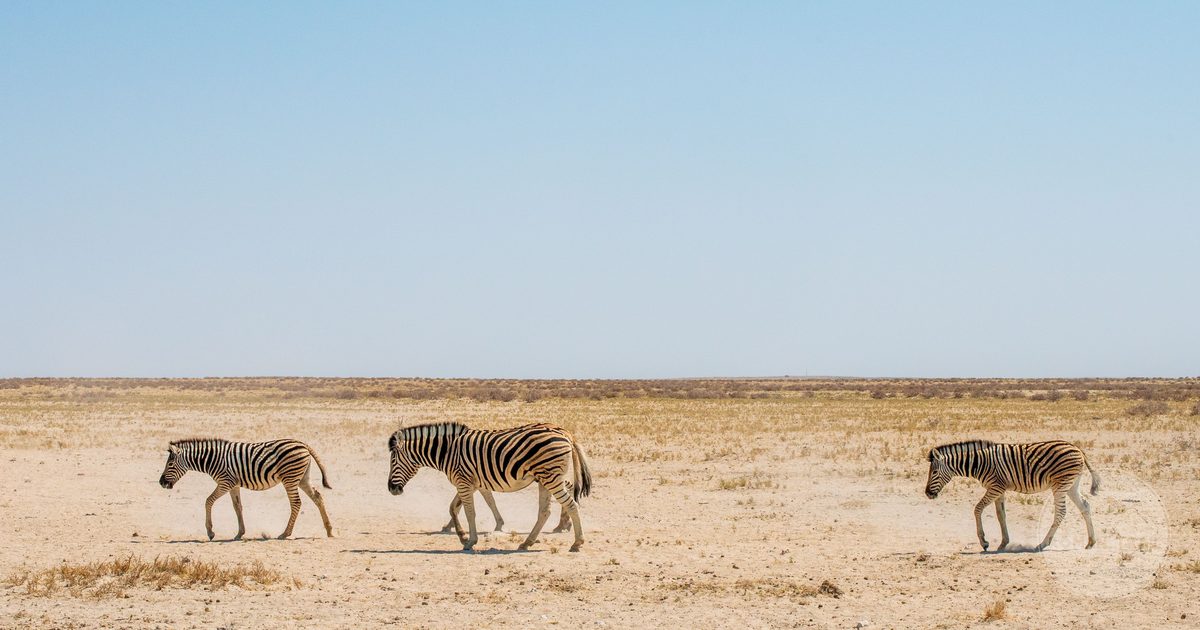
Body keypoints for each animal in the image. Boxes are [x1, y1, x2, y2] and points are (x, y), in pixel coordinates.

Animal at [158, 438, 335, 541]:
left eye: (170, 464)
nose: (161, 482)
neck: (212, 460)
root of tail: (303, 444)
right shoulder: (234, 485)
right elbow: (237, 507)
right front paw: (239, 533)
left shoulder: (225, 482)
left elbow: (208, 501)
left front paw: (210, 532)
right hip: (302, 478)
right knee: (318, 497)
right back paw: (329, 530)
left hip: (290, 478)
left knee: (296, 503)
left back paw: (285, 533)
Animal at [388, 422, 592, 552]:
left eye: (393, 461)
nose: (391, 489)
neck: (447, 452)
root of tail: (566, 433)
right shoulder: (471, 483)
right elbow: (455, 507)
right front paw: (461, 534)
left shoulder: (463, 482)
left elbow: (469, 512)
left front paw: (470, 541)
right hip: (545, 478)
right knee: (545, 511)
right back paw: (528, 542)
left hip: (551, 477)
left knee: (571, 504)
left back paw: (577, 542)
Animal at [924, 439, 1099, 552]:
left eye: (934, 472)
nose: (927, 494)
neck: (978, 463)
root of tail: (1077, 448)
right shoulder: (999, 490)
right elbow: (1000, 515)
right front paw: (1003, 543)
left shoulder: (995, 488)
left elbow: (977, 509)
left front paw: (984, 542)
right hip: (1071, 485)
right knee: (1085, 506)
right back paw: (1091, 542)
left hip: (1060, 485)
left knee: (1061, 512)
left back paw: (1043, 544)